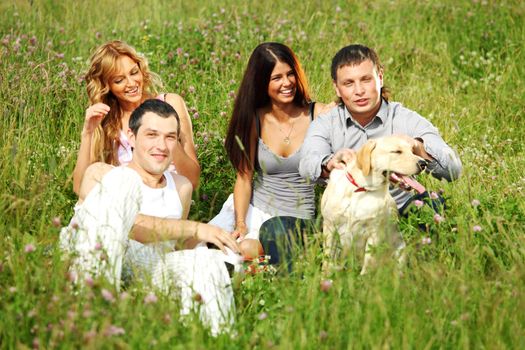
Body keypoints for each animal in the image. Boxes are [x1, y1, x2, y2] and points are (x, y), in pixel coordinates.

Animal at [320, 135, 426, 274]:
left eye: (413, 150)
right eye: (397, 151)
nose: (424, 163)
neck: (361, 189)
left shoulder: (374, 233)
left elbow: (368, 264)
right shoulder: (329, 227)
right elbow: (327, 260)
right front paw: (325, 277)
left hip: (400, 249)